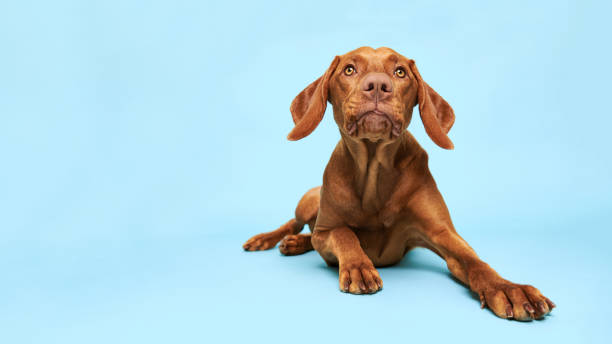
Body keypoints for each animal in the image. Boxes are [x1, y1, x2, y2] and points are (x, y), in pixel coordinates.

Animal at [243, 47, 556, 322]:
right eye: (349, 69)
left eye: (400, 72)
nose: (378, 85)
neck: (373, 173)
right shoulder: (326, 230)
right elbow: (345, 233)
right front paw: (358, 266)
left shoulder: (442, 234)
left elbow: (474, 262)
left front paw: (509, 289)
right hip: (309, 199)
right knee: (294, 223)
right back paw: (270, 239)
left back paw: (294, 243)